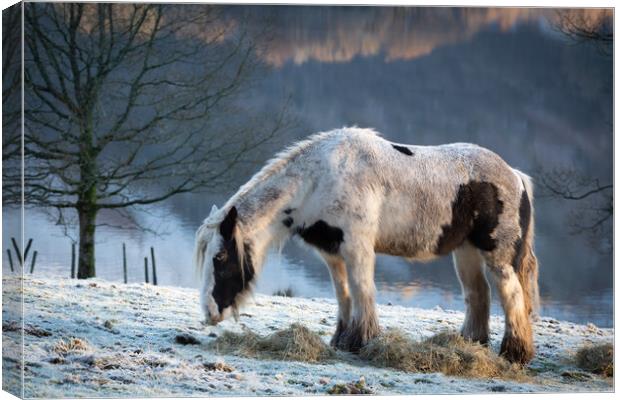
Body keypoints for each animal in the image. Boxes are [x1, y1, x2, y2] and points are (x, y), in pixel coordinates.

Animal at [194, 126, 536, 364]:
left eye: (221, 257)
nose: (209, 313)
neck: (319, 179)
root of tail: (516, 175)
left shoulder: (357, 247)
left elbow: (362, 290)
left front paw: (362, 341)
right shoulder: (332, 252)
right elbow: (344, 294)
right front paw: (341, 340)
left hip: (498, 256)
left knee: (511, 296)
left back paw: (514, 354)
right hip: (465, 253)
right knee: (478, 296)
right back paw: (472, 345)